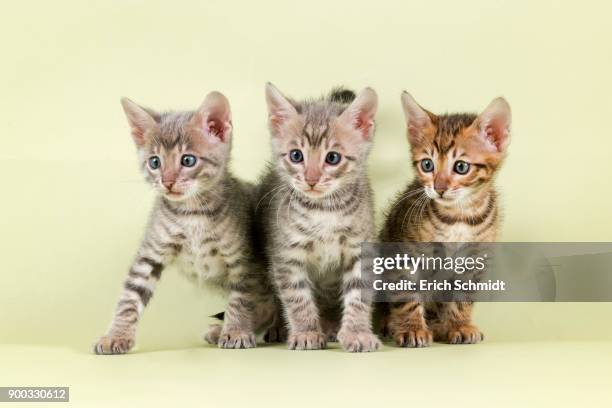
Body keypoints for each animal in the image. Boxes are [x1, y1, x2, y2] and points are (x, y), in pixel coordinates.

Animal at [93, 92, 274, 354]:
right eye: (155, 162)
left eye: (188, 160)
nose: (167, 182)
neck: (192, 214)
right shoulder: (150, 253)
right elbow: (129, 296)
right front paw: (116, 335)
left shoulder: (242, 260)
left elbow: (241, 299)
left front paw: (236, 331)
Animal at [256, 83, 382, 350]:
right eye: (296, 156)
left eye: (332, 158)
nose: (311, 179)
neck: (324, 209)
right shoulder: (287, 255)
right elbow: (297, 297)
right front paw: (306, 332)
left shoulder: (360, 249)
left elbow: (359, 292)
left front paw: (357, 332)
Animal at [380, 91, 510, 348]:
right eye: (427, 164)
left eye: (460, 167)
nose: (439, 188)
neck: (458, 217)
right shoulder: (405, 253)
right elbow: (407, 296)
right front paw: (412, 329)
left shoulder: (475, 259)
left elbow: (463, 298)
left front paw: (459, 325)